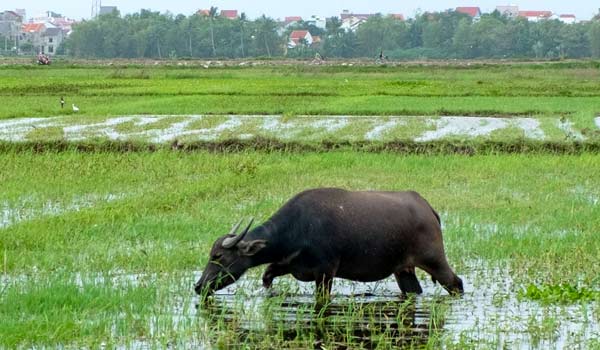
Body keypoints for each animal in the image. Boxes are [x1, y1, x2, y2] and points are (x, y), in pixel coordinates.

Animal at [196, 187, 464, 300]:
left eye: (218, 256)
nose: (199, 286)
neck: (297, 228)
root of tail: (428, 209)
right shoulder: (287, 265)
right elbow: (267, 276)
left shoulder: (325, 273)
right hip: (404, 270)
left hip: (434, 260)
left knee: (456, 283)